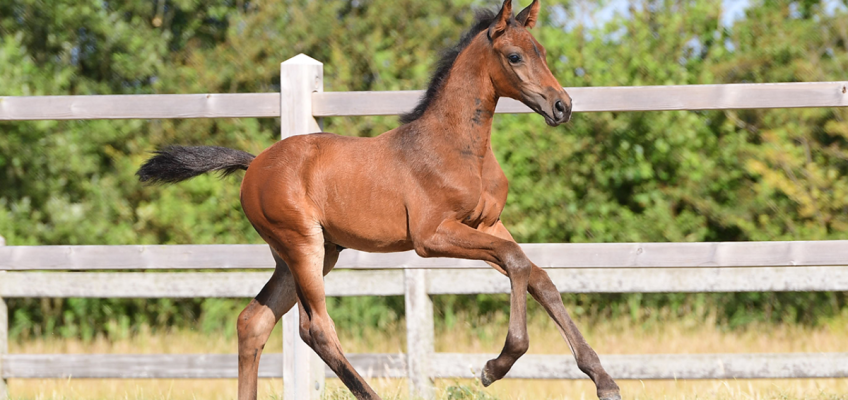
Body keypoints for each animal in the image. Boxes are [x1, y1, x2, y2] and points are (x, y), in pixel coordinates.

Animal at [136, 0, 620, 400]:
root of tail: (254, 164)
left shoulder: (486, 224)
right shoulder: (432, 237)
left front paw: (604, 381)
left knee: (253, 321)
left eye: (542, 51)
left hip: (310, 253)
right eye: (515, 56)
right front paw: (495, 366)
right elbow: (517, 263)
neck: (459, 147)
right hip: (302, 246)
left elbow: (539, 277)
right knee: (316, 329)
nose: (562, 106)